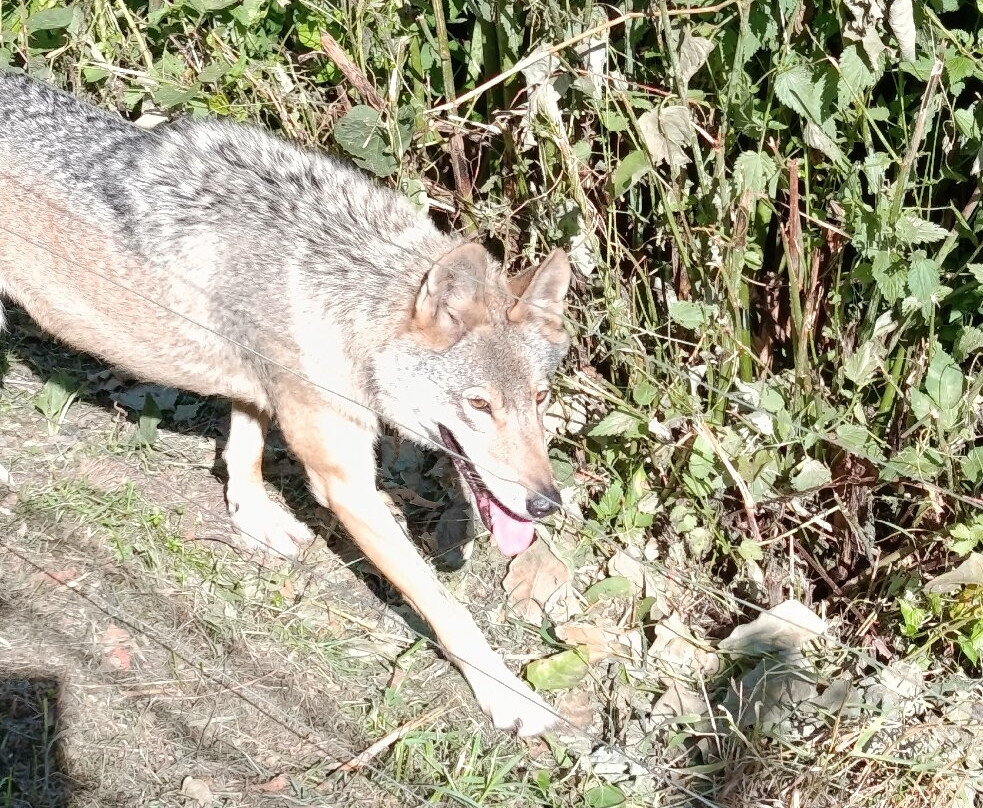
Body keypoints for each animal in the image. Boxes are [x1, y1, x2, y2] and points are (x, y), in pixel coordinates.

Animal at [0, 73, 572, 736]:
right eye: (479, 405)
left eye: (539, 398)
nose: (547, 504)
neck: (345, 296)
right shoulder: (345, 484)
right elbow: (447, 606)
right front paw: (507, 694)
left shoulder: (261, 385)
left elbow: (244, 450)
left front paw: (254, 517)